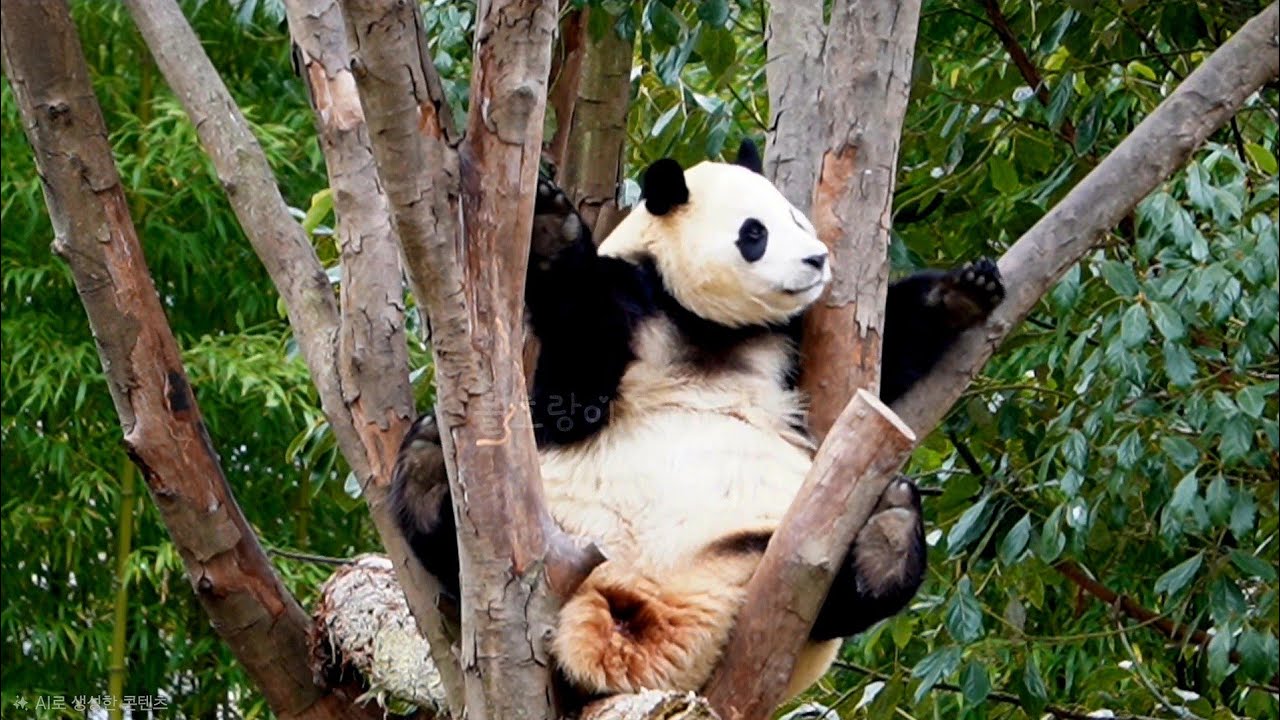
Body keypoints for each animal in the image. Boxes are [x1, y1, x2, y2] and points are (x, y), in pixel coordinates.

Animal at [390, 140, 1004, 699]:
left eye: (797, 217)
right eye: (755, 233)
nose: (818, 259)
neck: (703, 322)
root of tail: (642, 624)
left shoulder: (788, 344)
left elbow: (892, 354)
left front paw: (965, 292)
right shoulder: (627, 306)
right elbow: (568, 398)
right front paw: (549, 228)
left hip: (760, 554)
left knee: (836, 601)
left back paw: (887, 540)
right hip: (553, 544)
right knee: (457, 555)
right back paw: (425, 470)